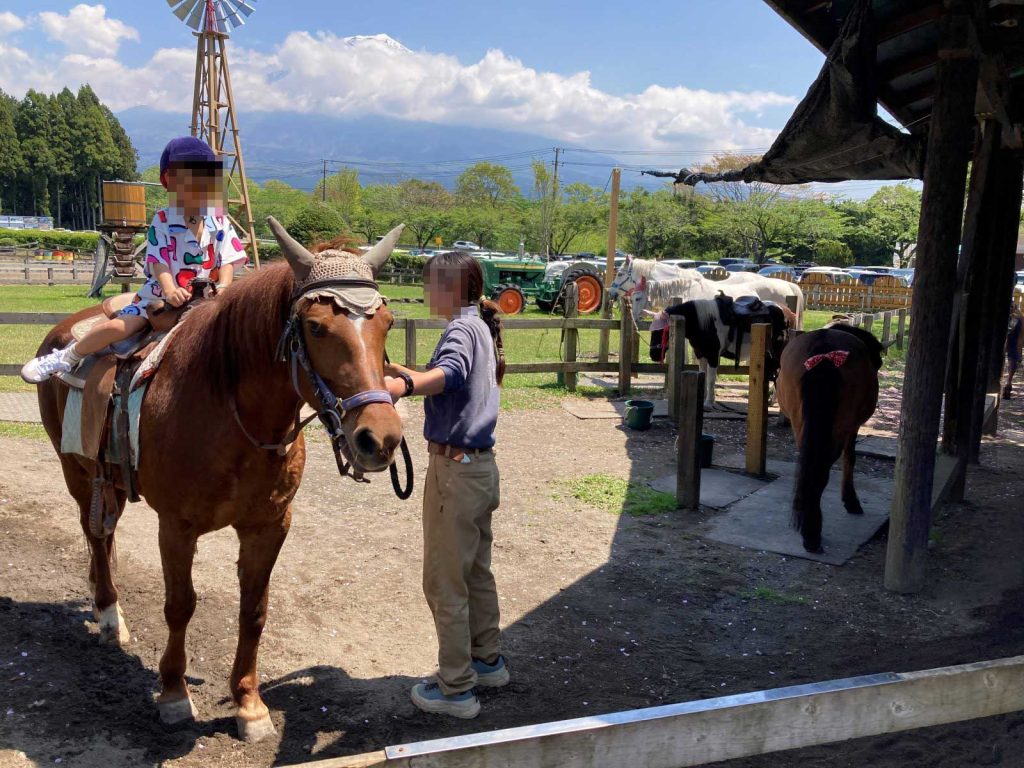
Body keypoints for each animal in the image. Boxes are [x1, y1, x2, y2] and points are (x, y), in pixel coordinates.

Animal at [36, 217, 403, 741]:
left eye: (386, 323)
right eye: (315, 327)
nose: (380, 438)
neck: (229, 411)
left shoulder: (269, 526)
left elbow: (253, 611)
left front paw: (248, 704)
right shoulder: (176, 526)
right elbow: (179, 605)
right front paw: (173, 694)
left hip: (111, 482)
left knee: (101, 536)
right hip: (76, 472)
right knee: (96, 536)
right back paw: (107, 614)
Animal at [647, 296, 790, 415]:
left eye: (661, 331)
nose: (653, 355)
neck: (706, 323)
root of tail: (784, 311)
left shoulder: (713, 356)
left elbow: (711, 380)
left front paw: (708, 404)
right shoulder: (701, 355)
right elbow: (704, 377)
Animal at [778, 323, 884, 552]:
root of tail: (824, 350)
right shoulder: (852, 428)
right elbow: (850, 458)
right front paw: (851, 500)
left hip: (801, 423)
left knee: (808, 467)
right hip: (838, 429)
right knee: (821, 470)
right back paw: (811, 533)